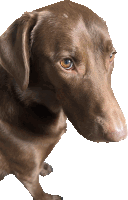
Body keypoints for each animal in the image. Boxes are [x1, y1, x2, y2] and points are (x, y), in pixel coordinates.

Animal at [0, 0, 127, 200]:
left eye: (111, 56)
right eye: (66, 63)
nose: (120, 134)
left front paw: (43, 167)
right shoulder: (27, 174)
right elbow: (38, 191)